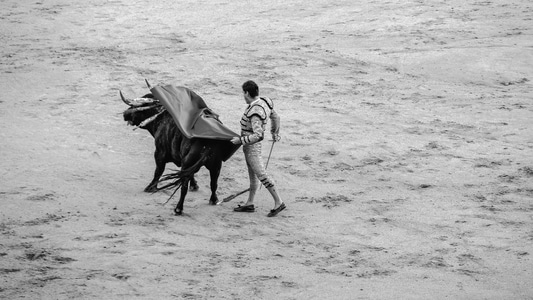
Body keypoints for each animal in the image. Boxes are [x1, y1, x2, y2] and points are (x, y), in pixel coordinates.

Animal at [121, 85, 232, 214]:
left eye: (139, 107)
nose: (125, 114)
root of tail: (208, 143)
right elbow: (191, 175)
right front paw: (194, 186)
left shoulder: (159, 152)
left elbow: (158, 170)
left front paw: (150, 187)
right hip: (216, 165)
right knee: (214, 183)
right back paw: (213, 200)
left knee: (184, 186)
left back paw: (178, 208)